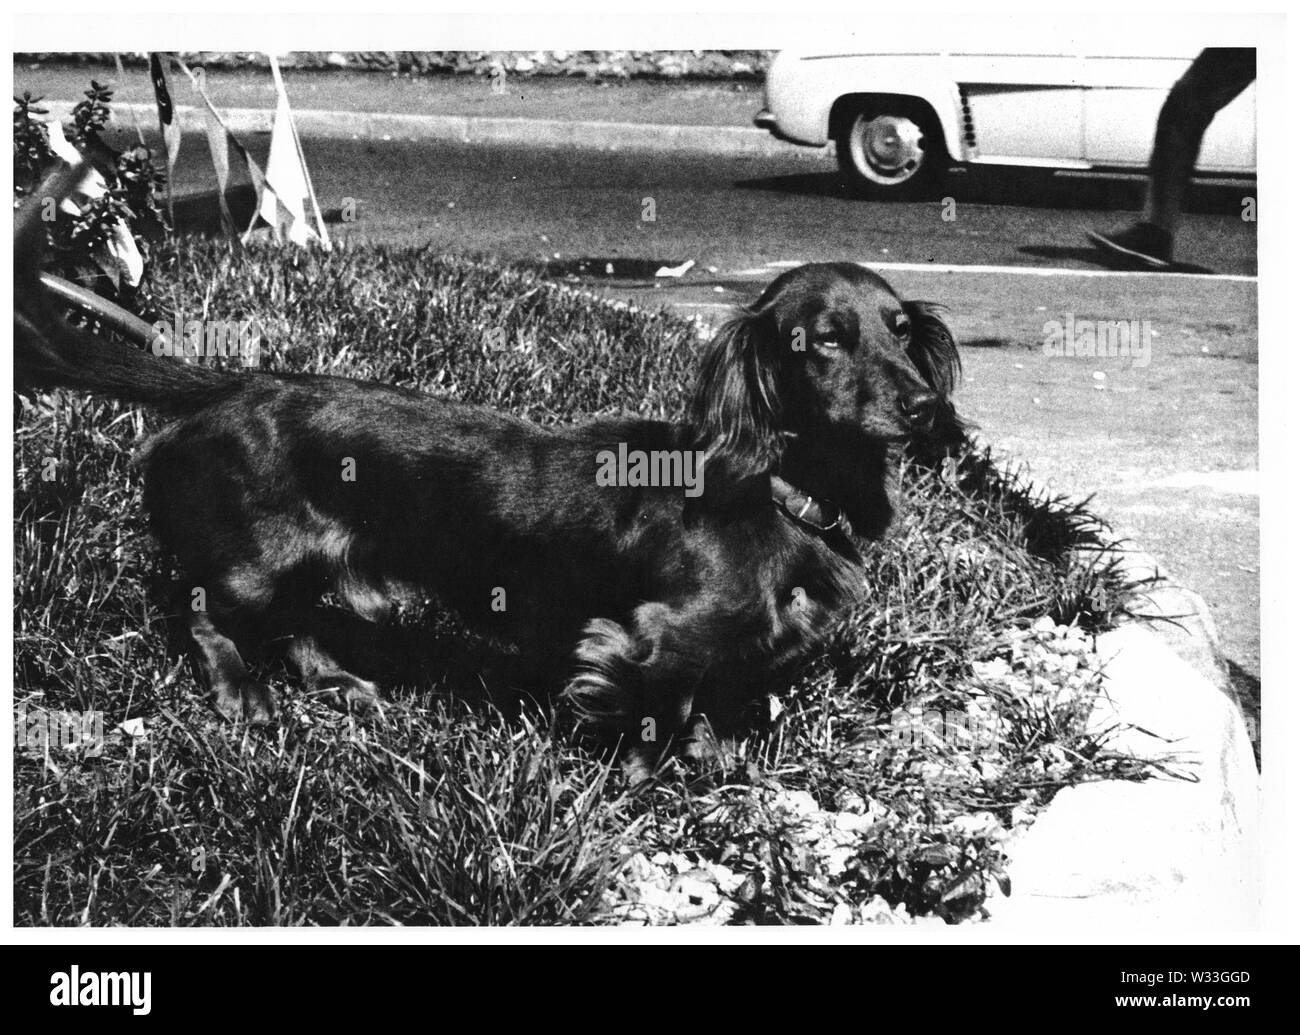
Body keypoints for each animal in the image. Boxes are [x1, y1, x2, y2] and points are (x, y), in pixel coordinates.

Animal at [17, 256, 956, 774]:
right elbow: (662, 711)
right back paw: (242, 696)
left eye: (902, 329)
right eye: (824, 338)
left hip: (308, 558)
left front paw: (714, 762)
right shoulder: (661, 633)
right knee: (205, 610)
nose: (925, 409)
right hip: (254, 561)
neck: (776, 486)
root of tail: (233, 383)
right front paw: (644, 783)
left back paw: (341, 683)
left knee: (295, 621)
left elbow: (710, 713)